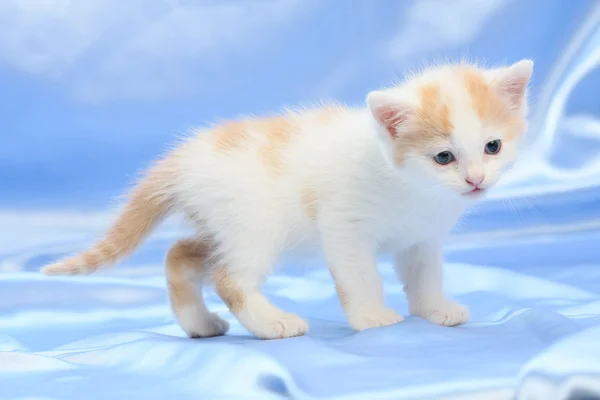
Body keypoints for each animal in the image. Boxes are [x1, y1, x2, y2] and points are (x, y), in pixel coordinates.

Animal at [39, 59, 532, 340]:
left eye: (493, 147)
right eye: (443, 156)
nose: (475, 180)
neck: (414, 188)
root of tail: (184, 158)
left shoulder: (422, 238)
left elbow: (425, 275)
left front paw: (434, 309)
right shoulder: (344, 227)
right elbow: (361, 277)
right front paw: (371, 316)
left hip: (223, 226)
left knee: (179, 254)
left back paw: (199, 324)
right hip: (254, 228)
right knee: (229, 278)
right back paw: (272, 323)